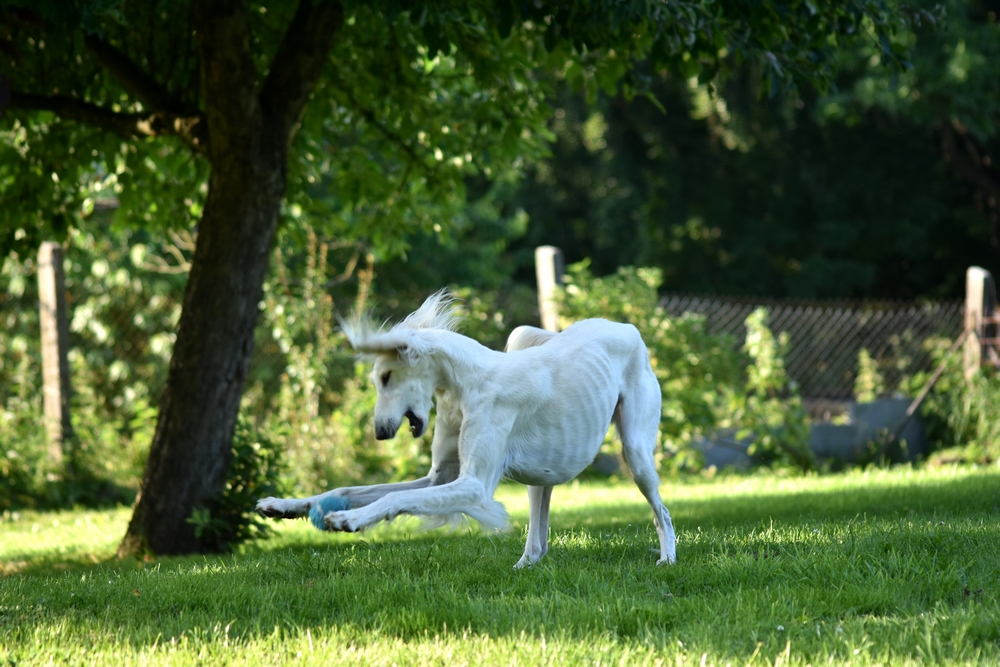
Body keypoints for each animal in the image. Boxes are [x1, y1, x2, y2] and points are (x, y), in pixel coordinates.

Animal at [258, 290, 680, 568]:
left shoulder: (473, 484)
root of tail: (626, 326)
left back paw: (668, 557)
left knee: (662, 510)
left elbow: (393, 498)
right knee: (539, 536)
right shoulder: (438, 477)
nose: (379, 432)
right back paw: (526, 563)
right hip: (542, 474)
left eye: (387, 376)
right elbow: (349, 489)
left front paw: (350, 520)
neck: (464, 381)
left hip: (636, 453)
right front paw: (284, 504)